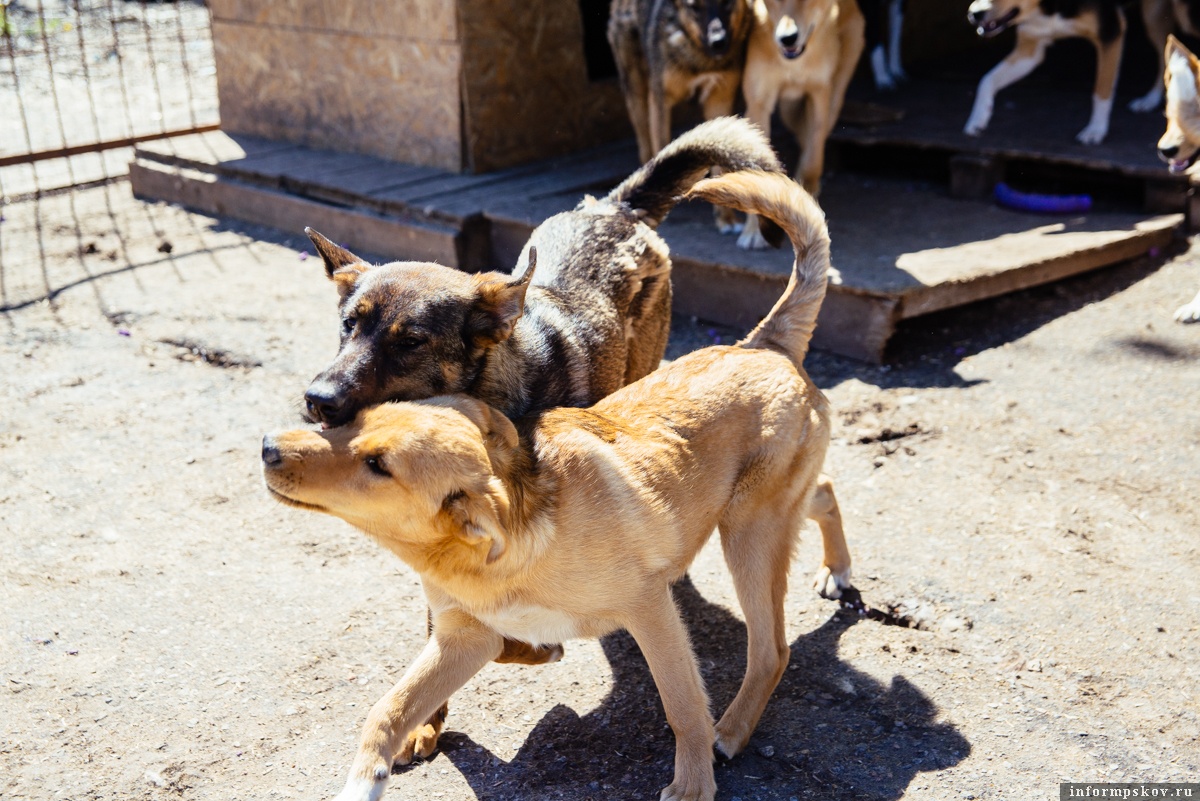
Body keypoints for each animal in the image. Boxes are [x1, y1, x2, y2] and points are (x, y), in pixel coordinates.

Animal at [734, 0, 868, 247]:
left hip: (833, 100)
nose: (788, 38)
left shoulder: (819, 96)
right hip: (789, 111)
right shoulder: (759, 104)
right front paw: (755, 231)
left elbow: (812, 161)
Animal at [960, 0, 1128, 142]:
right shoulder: (1030, 51)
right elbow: (987, 79)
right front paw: (978, 118)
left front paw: (1096, 129)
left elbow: (1102, 89)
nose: (974, 13)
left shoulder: (1110, 33)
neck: (1048, 7)